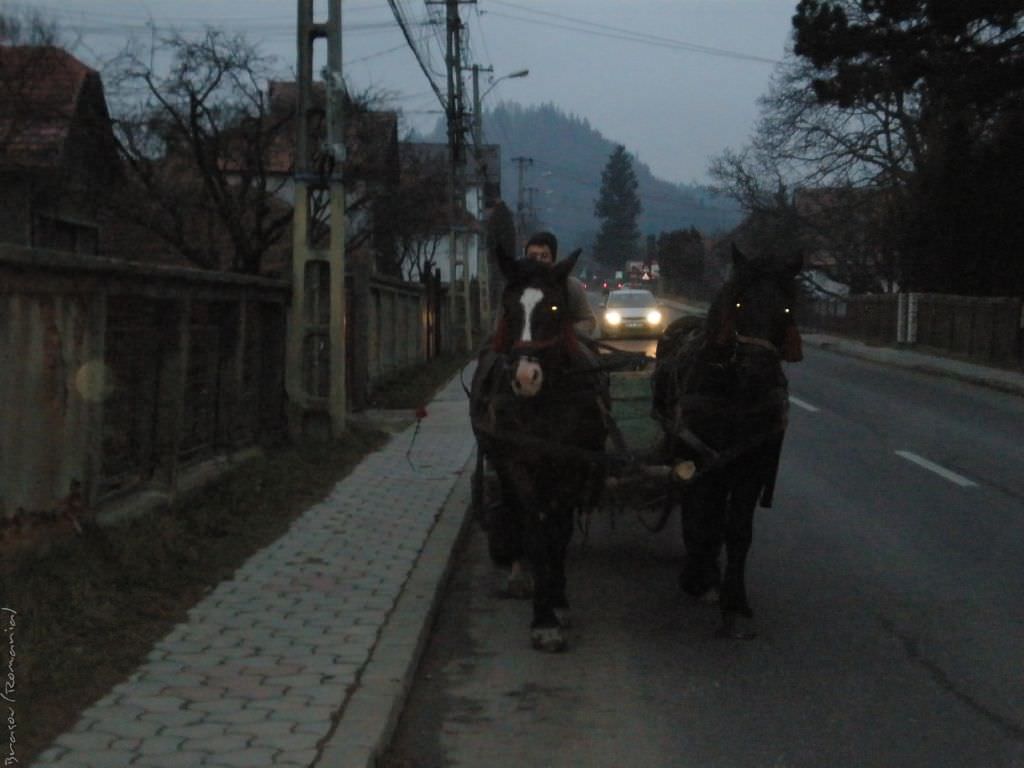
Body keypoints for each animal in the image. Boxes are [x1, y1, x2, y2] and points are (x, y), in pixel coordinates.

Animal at [471, 246, 606, 655]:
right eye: (508, 308)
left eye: (554, 307)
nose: (525, 377)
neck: (544, 402)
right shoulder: (517, 463)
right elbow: (533, 527)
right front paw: (543, 619)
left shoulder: (571, 466)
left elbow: (559, 530)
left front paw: (558, 603)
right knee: (515, 513)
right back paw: (520, 574)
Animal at [651, 247, 802, 643]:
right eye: (738, 303)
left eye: (786, 309)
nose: (758, 369)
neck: (735, 389)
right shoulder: (706, 459)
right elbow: (704, 516)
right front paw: (699, 578)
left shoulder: (749, 465)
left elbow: (737, 531)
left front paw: (733, 599)